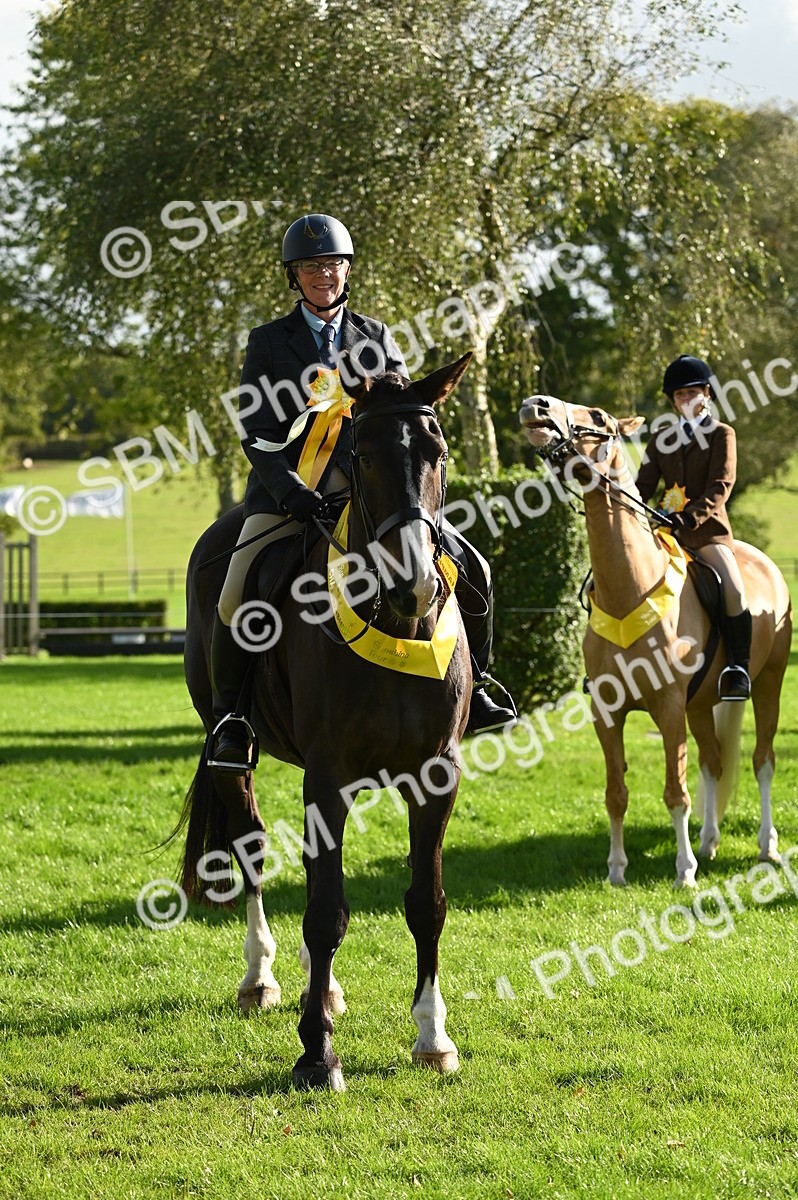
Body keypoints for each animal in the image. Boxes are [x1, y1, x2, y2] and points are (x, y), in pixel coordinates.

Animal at [177, 352, 472, 1091]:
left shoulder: (436, 777)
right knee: (252, 846)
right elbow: (326, 911)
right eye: (362, 455)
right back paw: (261, 979)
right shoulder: (329, 776)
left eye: (438, 452)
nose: (415, 584)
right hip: (233, 746)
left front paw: (433, 1037)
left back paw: (325, 986)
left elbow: (426, 903)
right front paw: (317, 1053)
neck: (394, 621)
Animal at [519, 395, 792, 887]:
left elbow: (675, 793)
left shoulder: (667, 708)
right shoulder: (606, 713)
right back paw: (709, 841)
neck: (631, 589)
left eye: (599, 418)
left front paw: (684, 872)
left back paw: (765, 847)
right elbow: (616, 792)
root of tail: (764, 563)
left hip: (769, 683)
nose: (537, 406)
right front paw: (616, 869)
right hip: (700, 705)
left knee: (763, 761)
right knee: (713, 762)